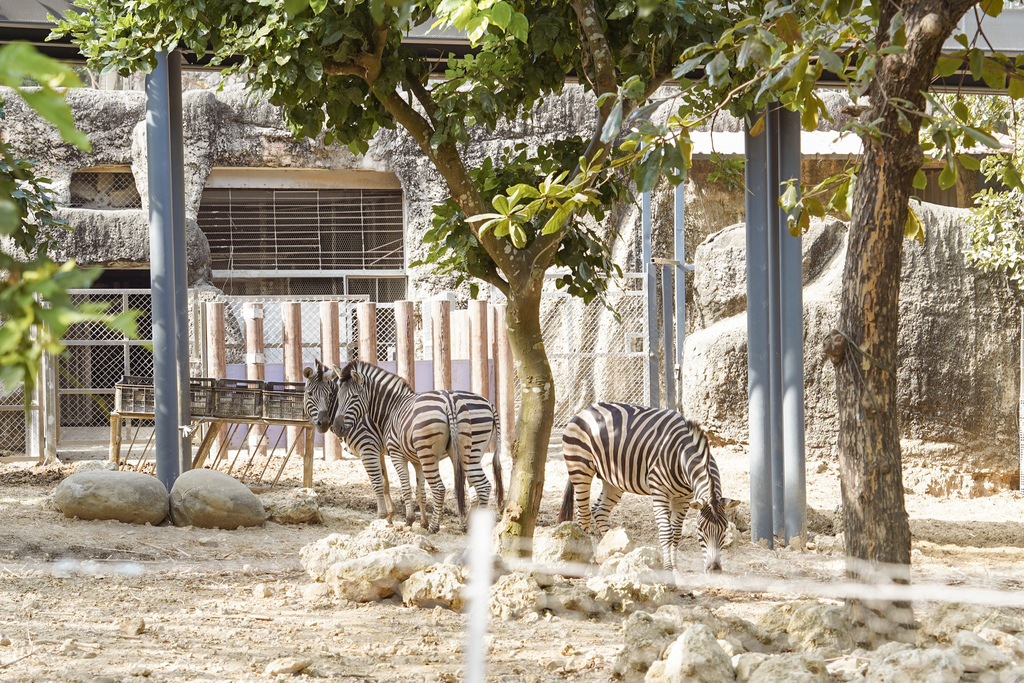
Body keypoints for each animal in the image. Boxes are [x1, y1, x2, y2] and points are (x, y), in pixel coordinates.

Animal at [301, 360, 393, 520]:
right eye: (310, 393)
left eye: (329, 395)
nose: (323, 423)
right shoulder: (378, 451)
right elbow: (385, 482)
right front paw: (390, 517)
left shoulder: (368, 447)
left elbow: (378, 482)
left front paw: (383, 517)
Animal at [557, 403, 741, 573]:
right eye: (700, 530)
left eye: (725, 529)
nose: (714, 569)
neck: (681, 455)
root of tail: (585, 410)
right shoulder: (660, 492)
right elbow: (667, 532)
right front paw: (668, 570)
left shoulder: (684, 498)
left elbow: (676, 532)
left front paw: (675, 568)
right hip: (580, 468)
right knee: (583, 515)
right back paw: (584, 560)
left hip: (613, 478)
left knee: (599, 511)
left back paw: (614, 552)